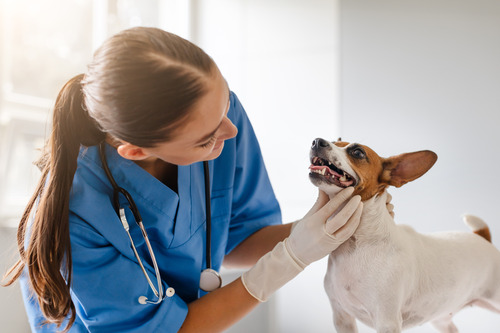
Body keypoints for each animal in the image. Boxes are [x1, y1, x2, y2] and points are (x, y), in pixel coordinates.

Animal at [308, 137, 500, 332]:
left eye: (358, 152)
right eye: (334, 141)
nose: (317, 141)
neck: (357, 243)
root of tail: (482, 237)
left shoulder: (386, 321)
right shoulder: (342, 317)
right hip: (441, 319)